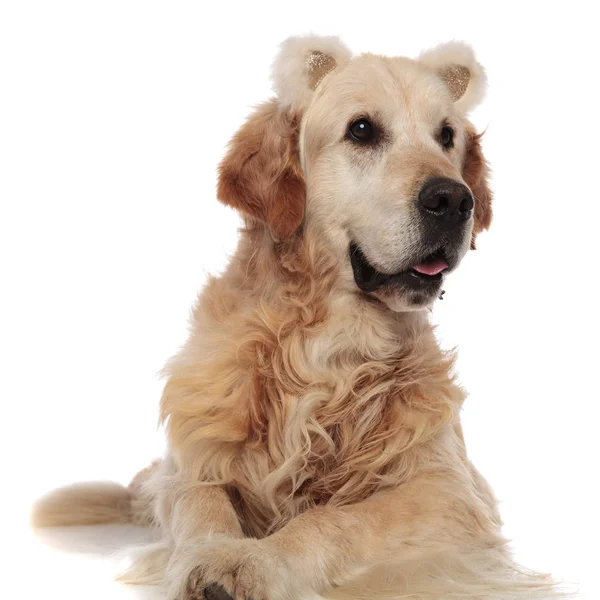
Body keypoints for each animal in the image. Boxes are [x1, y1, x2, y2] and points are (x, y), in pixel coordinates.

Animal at [32, 35, 564, 596]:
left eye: (447, 136)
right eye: (361, 129)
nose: (454, 199)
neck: (328, 346)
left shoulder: (451, 490)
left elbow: (337, 518)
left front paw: (259, 562)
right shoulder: (193, 463)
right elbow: (203, 503)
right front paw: (211, 558)